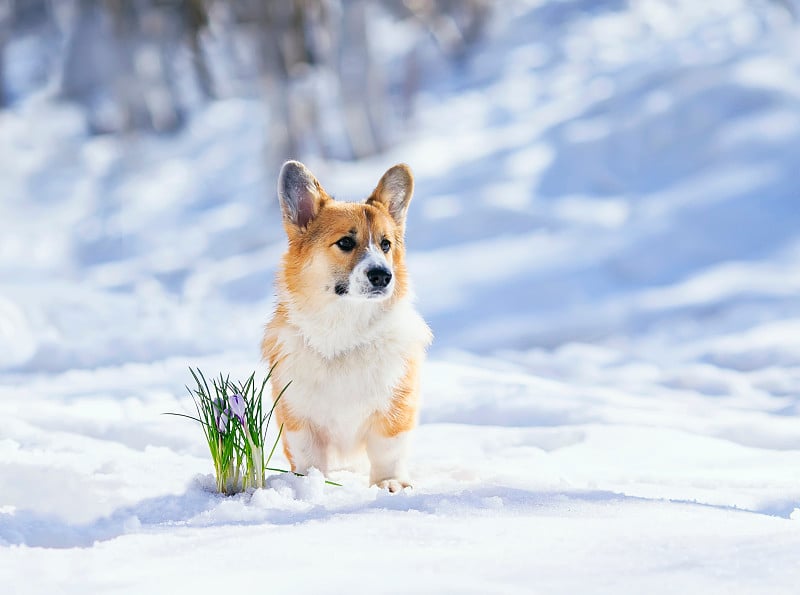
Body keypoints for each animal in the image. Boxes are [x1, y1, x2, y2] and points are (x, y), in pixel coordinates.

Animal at [264, 161, 434, 492]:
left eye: (385, 245)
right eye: (345, 242)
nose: (383, 276)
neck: (343, 330)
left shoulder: (395, 407)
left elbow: (388, 451)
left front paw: (389, 483)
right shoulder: (298, 415)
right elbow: (309, 457)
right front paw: (312, 485)